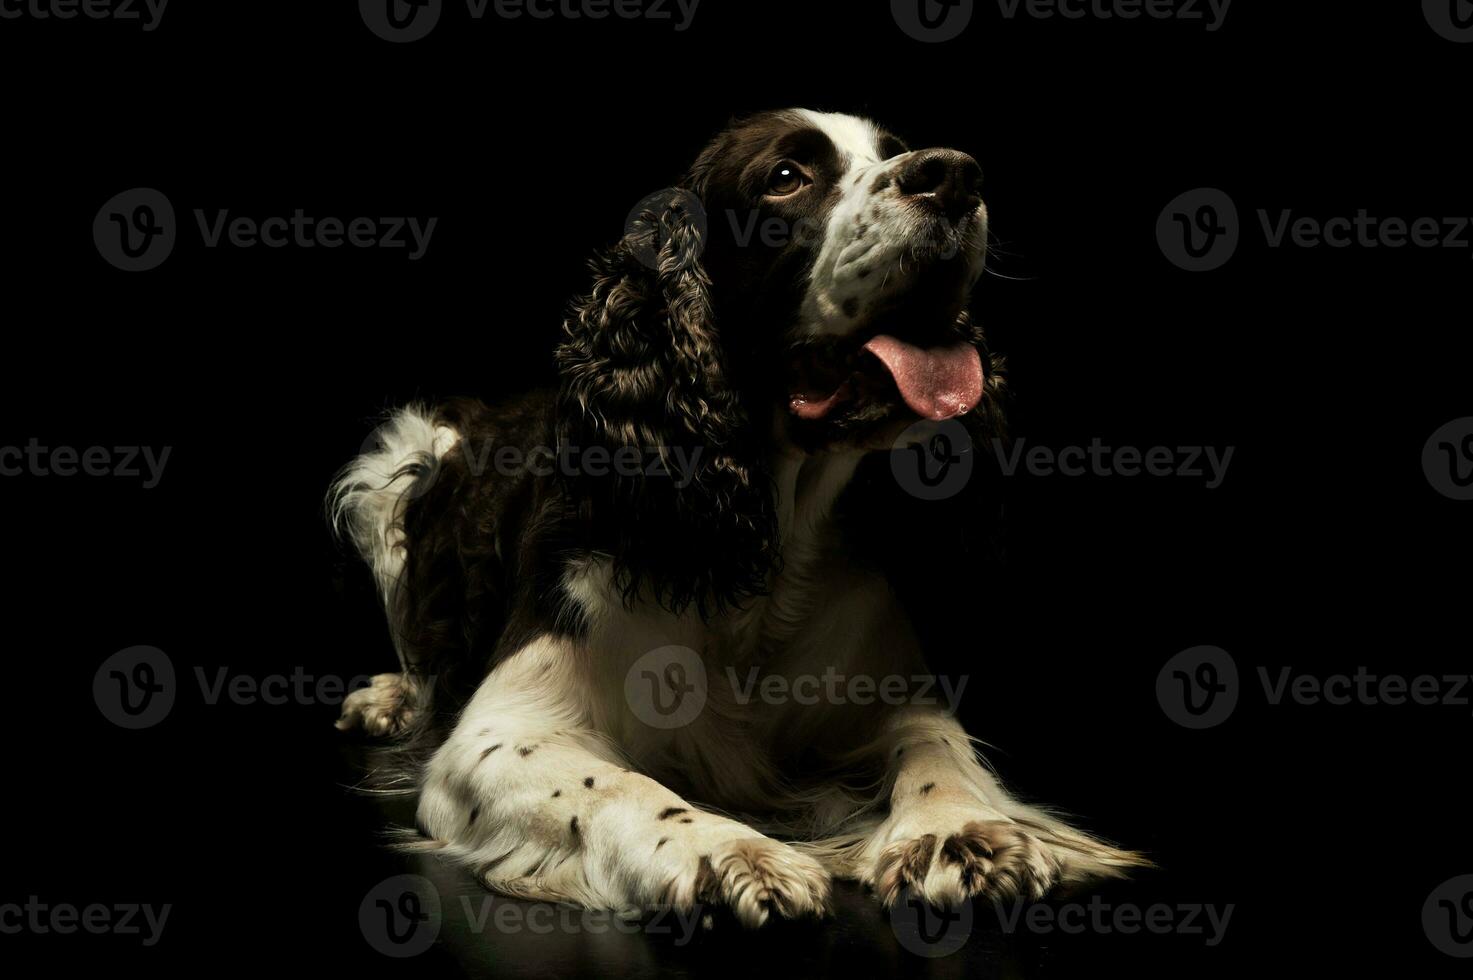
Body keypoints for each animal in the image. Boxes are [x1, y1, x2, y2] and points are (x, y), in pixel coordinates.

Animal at [328, 109, 1143, 925]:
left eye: (895, 152)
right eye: (785, 177)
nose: (954, 175)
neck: (758, 539)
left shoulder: (890, 688)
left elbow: (935, 746)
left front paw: (958, 831)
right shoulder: (501, 732)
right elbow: (616, 784)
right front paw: (724, 852)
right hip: (400, 462)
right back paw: (388, 698)